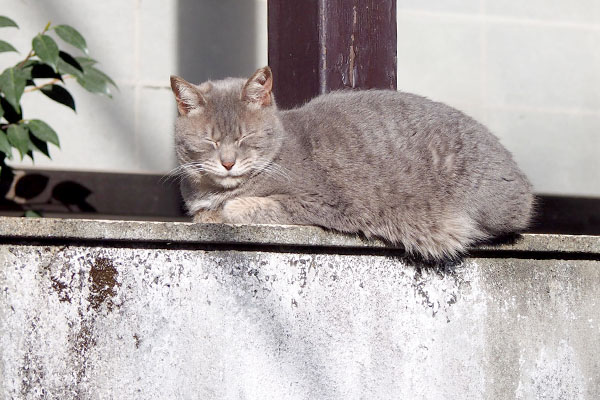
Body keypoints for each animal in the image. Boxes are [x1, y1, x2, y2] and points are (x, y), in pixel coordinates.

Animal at [169, 66, 536, 260]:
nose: (228, 163)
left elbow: (238, 207)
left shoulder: (316, 200)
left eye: (245, 138)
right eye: (210, 142)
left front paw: (222, 209)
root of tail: (522, 179)